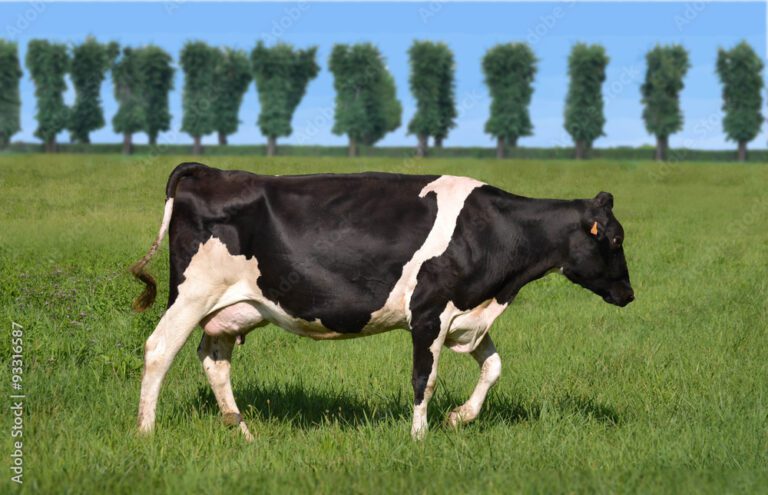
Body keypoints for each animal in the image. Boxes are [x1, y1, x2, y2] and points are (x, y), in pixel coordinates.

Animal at [131, 162, 634, 440]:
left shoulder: (466, 316)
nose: (629, 294)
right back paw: (146, 431)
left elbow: (493, 367)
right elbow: (424, 381)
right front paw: (419, 437)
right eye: (614, 238)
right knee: (159, 349)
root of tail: (209, 172)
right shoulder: (429, 312)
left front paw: (460, 418)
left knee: (214, 361)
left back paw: (243, 432)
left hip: (231, 310)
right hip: (192, 295)